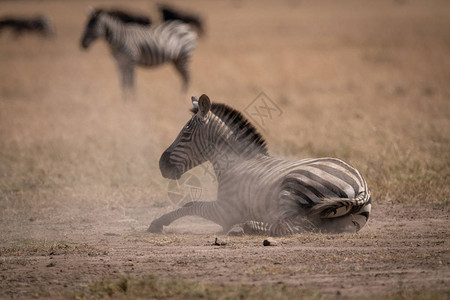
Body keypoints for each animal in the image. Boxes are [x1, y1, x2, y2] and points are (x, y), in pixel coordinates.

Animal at [149, 95, 372, 236]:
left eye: (186, 133)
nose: (161, 165)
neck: (236, 162)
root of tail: (361, 186)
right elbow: (189, 205)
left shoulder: (226, 209)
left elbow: (190, 205)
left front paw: (157, 223)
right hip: (337, 223)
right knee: (305, 226)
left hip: (292, 188)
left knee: (290, 227)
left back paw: (243, 227)